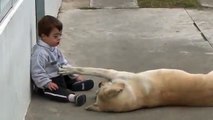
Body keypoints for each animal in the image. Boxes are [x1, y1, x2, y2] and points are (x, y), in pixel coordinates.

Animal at [58, 66, 213, 112]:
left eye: (102, 90)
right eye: (96, 94)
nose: (100, 84)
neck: (136, 95)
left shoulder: (114, 73)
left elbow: (88, 69)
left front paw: (67, 69)